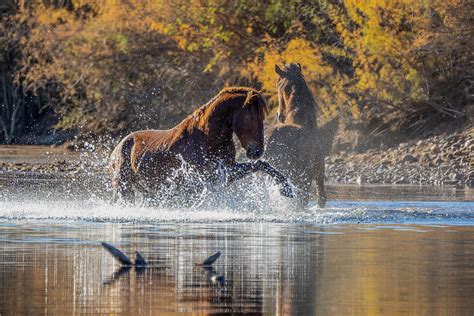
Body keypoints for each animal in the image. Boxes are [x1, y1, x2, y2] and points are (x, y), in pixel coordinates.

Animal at [110, 86, 292, 205]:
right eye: (252, 117)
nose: (257, 151)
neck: (207, 138)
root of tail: (118, 148)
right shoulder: (205, 177)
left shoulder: (226, 170)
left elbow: (261, 165)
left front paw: (286, 188)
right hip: (123, 187)